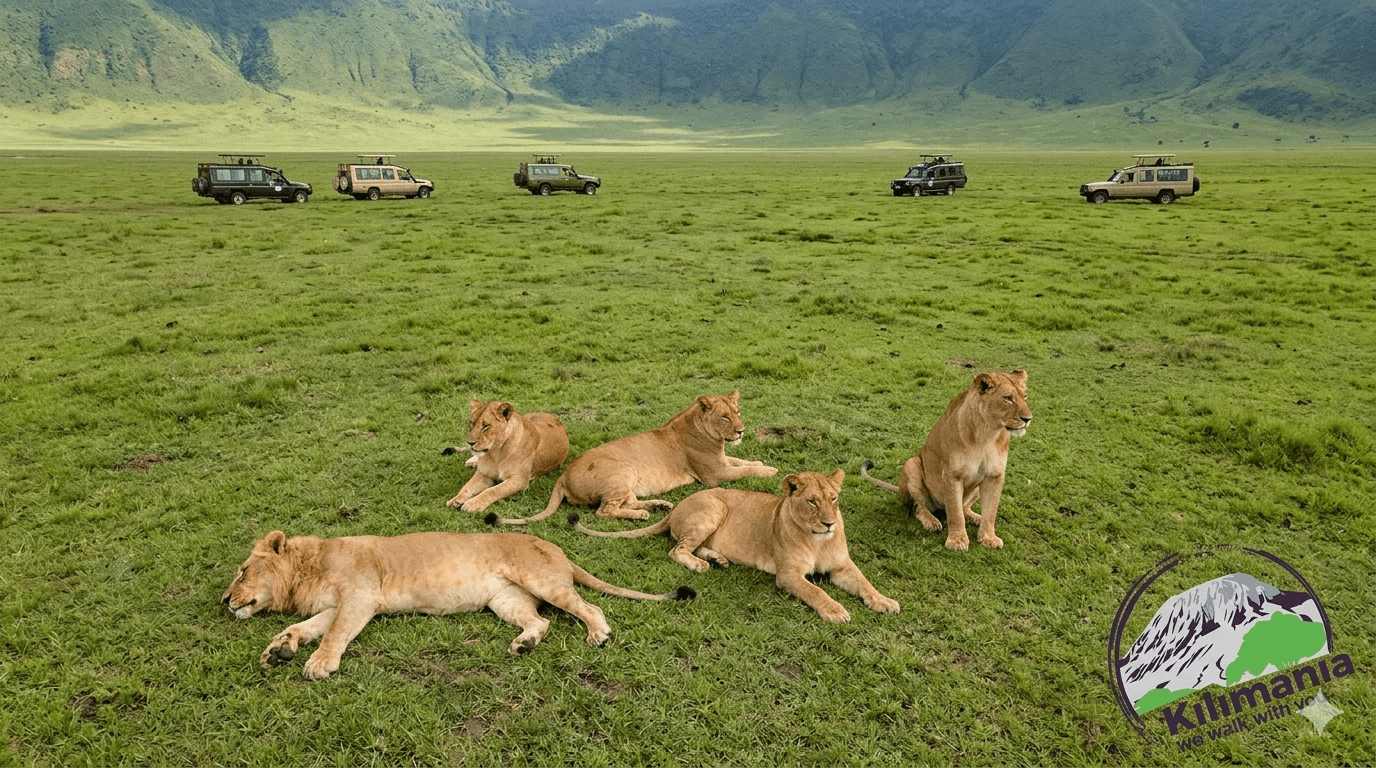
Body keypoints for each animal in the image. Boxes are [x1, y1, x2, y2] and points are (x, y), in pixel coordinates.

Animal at [221, 530, 695, 679]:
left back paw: (598, 634)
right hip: (505, 599)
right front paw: (279, 649)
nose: (225, 600)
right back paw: (523, 645)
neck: (308, 568)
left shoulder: (361, 596)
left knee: (589, 608)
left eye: (242, 571)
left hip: (541, 580)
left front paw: (319, 663)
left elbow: (333, 633)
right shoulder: (343, 603)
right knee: (540, 623)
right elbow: (309, 627)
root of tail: (555, 546)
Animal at [487, 390, 778, 525]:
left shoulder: (722, 461)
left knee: (631, 501)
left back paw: (658, 506)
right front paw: (771, 471)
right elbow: (745, 471)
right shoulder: (714, 474)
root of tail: (563, 476)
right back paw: (641, 516)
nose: (741, 431)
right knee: (605, 510)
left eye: (738, 412)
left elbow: (744, 463)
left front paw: (762, 463)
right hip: (624, 470)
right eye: (725, 417)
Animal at [570, 470, 898, 623]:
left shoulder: (842, 566)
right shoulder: (788, 575)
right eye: (812, 502)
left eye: (834, 498)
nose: (829, 523)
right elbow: (815, 591)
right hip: (713, 507)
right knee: (677, 550)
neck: (817, 539)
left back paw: (718, 559)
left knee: (693, 547)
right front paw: (835, 610)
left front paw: (885, 601)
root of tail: (677, 508)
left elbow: (865, 583)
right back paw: (702, 565)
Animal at [860, 369, 1031, 551]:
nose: (1028, 419)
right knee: (918, 507)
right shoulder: (951, 475)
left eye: (1025, 397)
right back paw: (932, 522)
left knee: (964, 507)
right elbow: (955, 512)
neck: (987, 434)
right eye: (1008, 398)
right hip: (911, 465)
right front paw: (957, 541)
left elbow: (990, 511)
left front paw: (988, 537)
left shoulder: (995, 476)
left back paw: (976, 517)